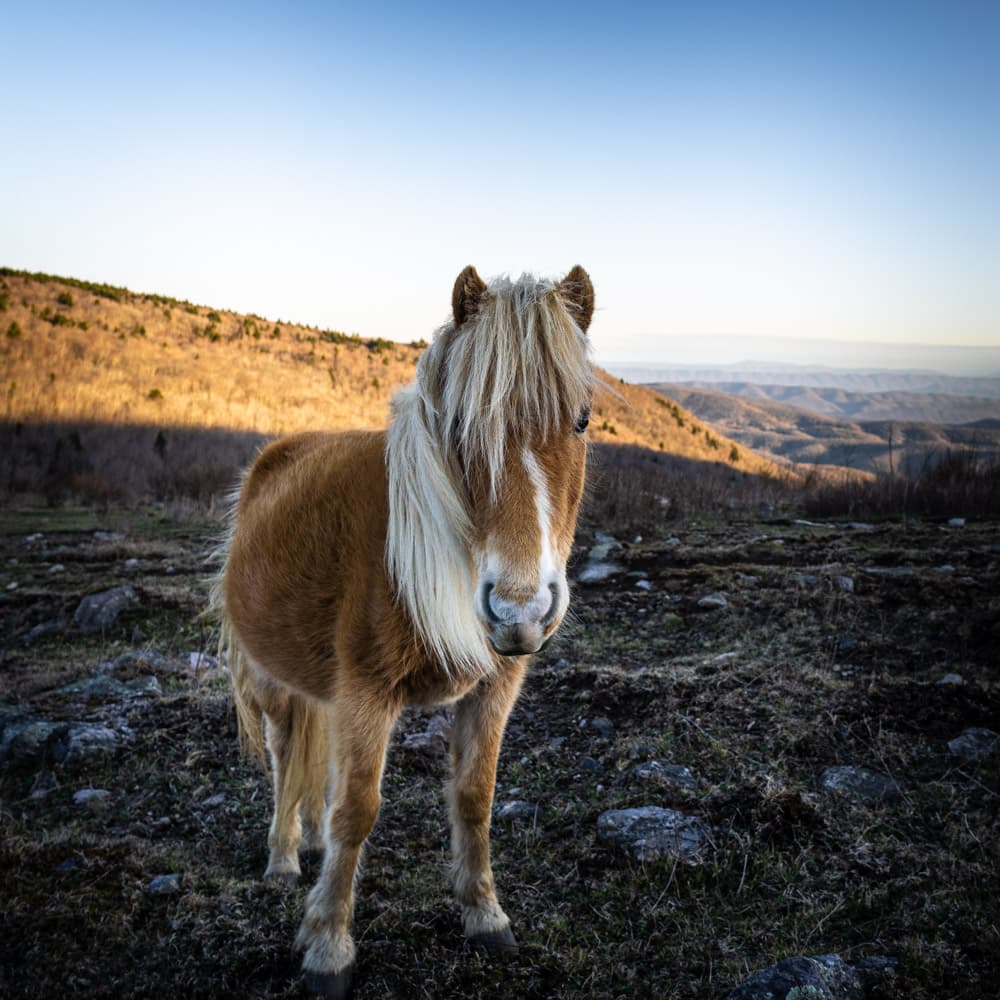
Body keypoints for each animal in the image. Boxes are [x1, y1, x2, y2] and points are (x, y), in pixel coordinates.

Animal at [213, 265, 595, 998]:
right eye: (461, 424)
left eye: (584, 420)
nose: (521, 610)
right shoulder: (367, 692)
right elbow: (358, 809)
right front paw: (328, 948)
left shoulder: (494, 688)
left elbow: (474, 798)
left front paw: (486, 917)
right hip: (273, 681)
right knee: (283, 757)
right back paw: (284, 858)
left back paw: (308, 845)